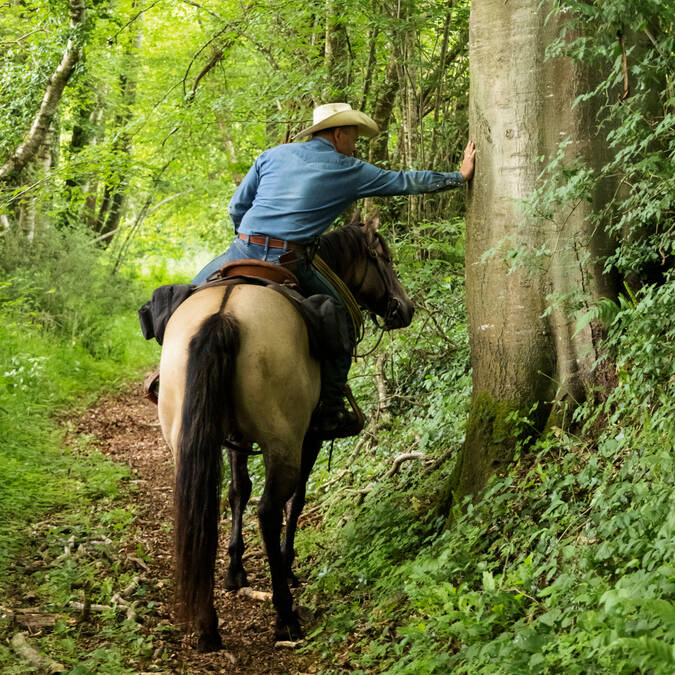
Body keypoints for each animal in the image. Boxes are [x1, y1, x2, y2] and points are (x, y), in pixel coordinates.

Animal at [156, 214, 414, 652]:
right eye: (385, 259)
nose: (405, 307)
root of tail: (224, 314)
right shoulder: (308, 437)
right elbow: (298, 499)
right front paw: (288, 569)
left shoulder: (234, 438)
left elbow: (237, 491)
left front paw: (235, 569)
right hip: (284, 444)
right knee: (269, 510)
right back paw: (284, 615)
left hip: (185, 436)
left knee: (202, 506)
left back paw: (207, 624)